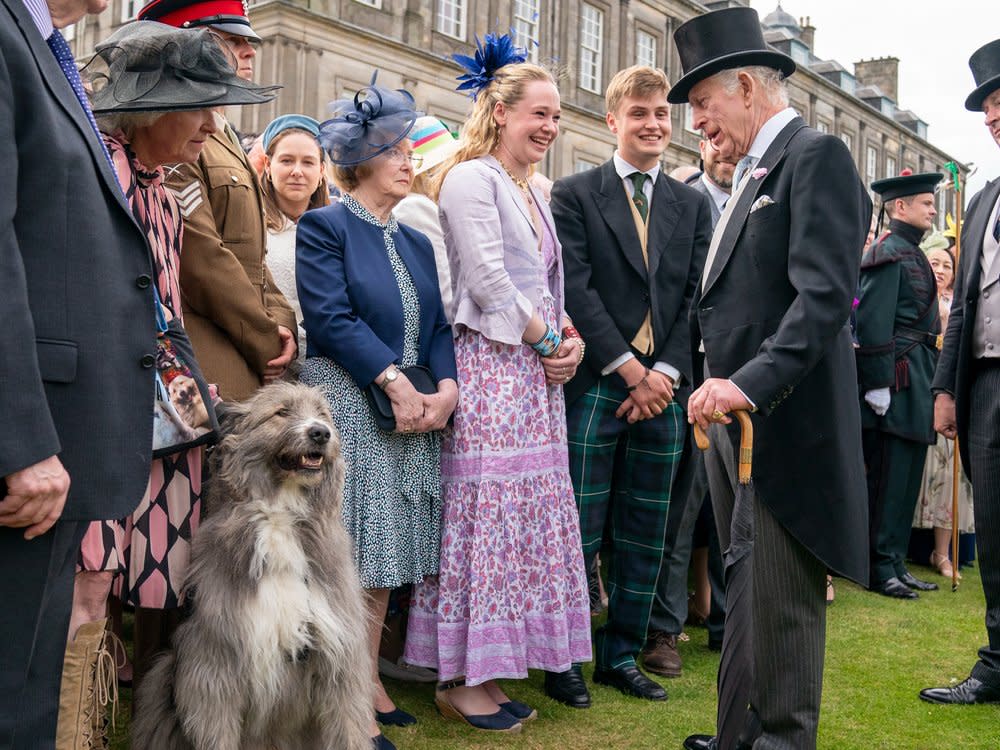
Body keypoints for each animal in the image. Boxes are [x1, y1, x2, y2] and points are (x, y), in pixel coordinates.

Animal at [135, 384, 376, 748]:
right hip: (164, 678)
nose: (321, 433)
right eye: (281, 412)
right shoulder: (214, 666)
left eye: (322, 413)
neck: (280, 516)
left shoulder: (339, 658)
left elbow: (348, 728)